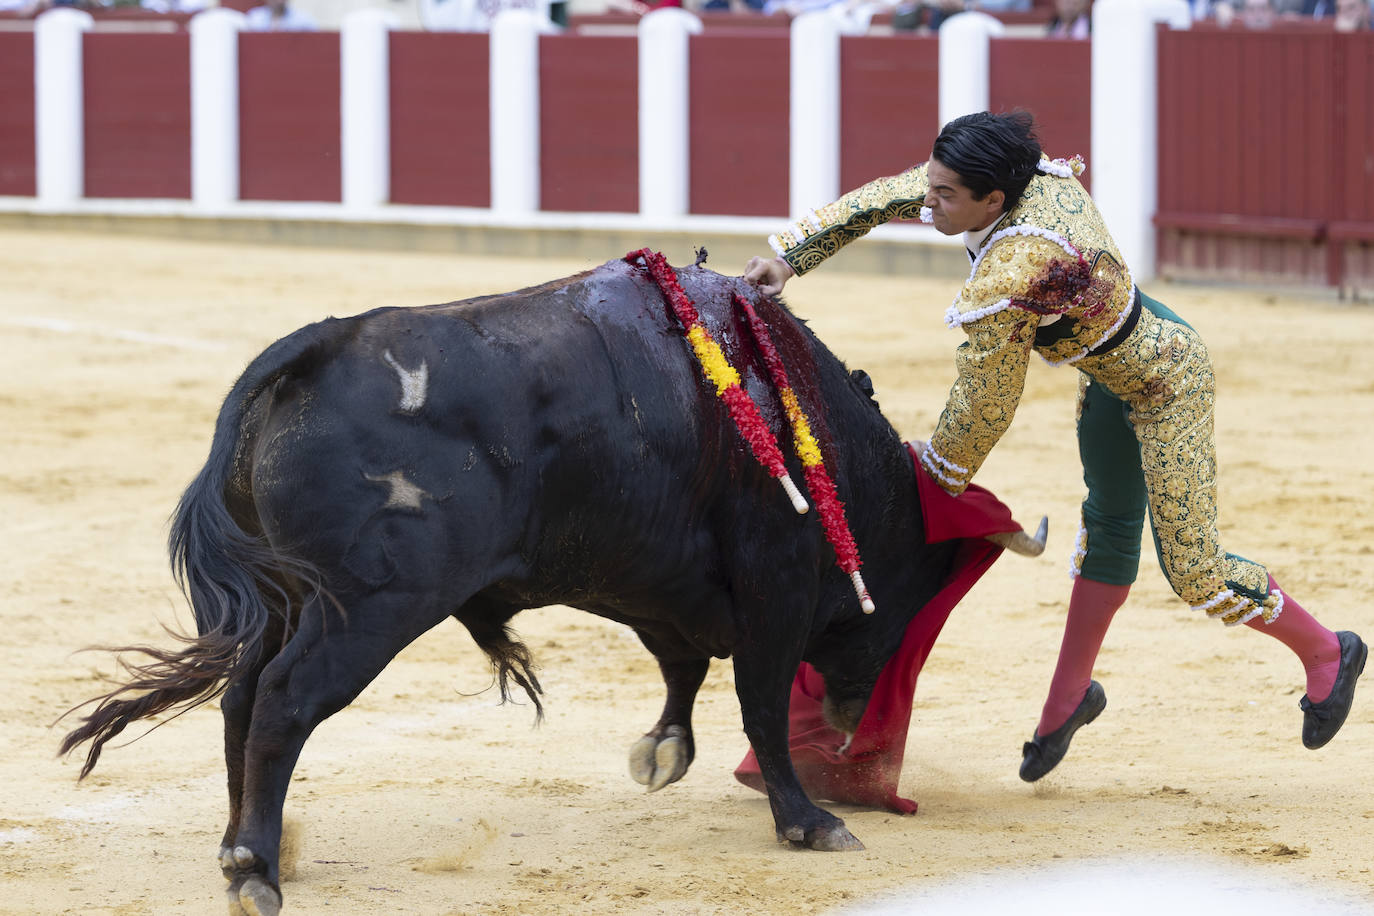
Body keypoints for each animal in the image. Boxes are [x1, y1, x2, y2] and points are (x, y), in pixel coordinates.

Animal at [61, 258, 1000, 916]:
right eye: (909, 614)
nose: (849, 726)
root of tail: (314, 350)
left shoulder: (648, 572)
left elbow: (683, 663)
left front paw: (663, 750)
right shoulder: (775, 585)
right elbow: (759, 703)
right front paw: (809, 819)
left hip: (292, 601)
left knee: (242, 697)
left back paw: (240, 849)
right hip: (367, 609)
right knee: (285, 702)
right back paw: (257, 870)